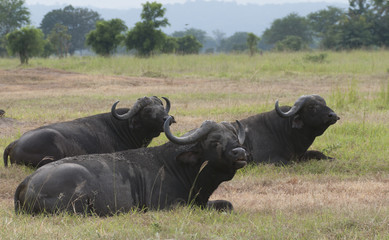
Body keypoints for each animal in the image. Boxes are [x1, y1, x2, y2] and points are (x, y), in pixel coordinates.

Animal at [15, 116, 247, 216]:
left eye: (234, 136)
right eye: (214, 141)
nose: (240, 153)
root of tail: (26, 182)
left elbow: (228, 204)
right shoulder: (169, 205)